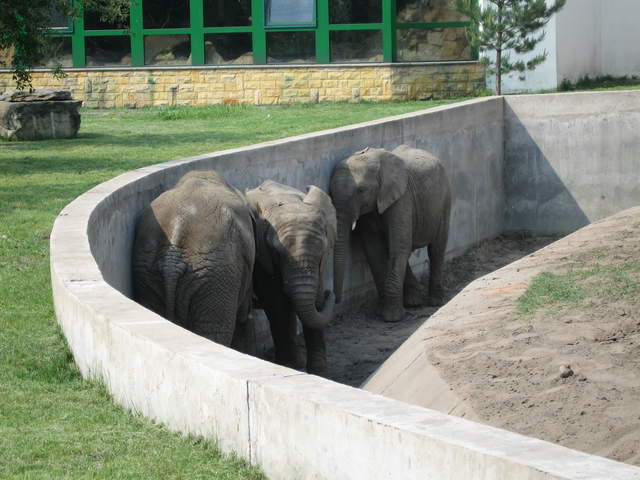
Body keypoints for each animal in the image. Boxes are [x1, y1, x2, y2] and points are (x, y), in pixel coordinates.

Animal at [246, 180, 337, 376]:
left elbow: (315, 302)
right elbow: (276, 303)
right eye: (277, 251)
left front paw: (319, 374)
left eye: (323, 250)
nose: (330, 293)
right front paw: (288, 365)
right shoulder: (262, 257)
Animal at [330, 144, 451, 323]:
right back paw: (414, 301)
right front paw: (382, 311)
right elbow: (375, 251)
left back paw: (436, 301)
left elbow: (399, 246)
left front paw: (391, 317)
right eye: (330, 194)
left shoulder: (402, 199)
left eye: (361, 190)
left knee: (436, 248)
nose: (336, 300)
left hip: (444, 201)